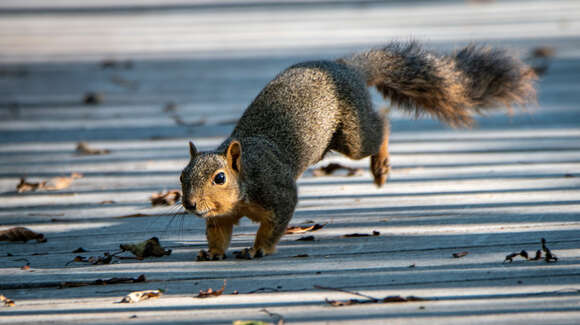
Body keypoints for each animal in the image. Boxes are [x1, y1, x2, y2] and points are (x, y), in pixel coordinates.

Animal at [179, 40, 536, 260]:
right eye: (182, 177)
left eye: (220, 178)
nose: (190, 204)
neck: (245, 179)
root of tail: (344, 67)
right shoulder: (220, 217)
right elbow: (218, 233)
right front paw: (213, 253)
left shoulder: (276, 190)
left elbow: (275, 223)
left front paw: (258, 249)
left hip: (352, 135)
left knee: (380, 127)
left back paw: (381, 165)